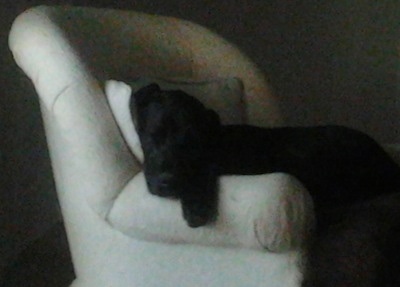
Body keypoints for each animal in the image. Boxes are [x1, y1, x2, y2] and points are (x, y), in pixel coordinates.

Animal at [130, 84, 400, 230]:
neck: (216, 142)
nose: (166, 182)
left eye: (192, 143)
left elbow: (205, 167)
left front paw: (196, 205)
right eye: (152, 136)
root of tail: (387, 161)